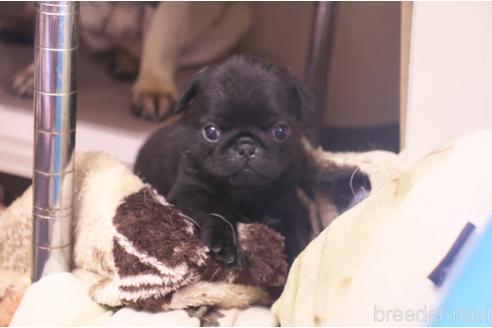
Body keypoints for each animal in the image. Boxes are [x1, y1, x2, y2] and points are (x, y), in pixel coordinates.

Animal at [133, 56, 314, 266]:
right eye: (211, 132)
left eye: (281, 131)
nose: (246, 146)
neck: (244, 192)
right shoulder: (191, 192)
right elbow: (216, 213)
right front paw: (226, 245)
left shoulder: (288, 202)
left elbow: (297, 229)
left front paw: (298, 259)